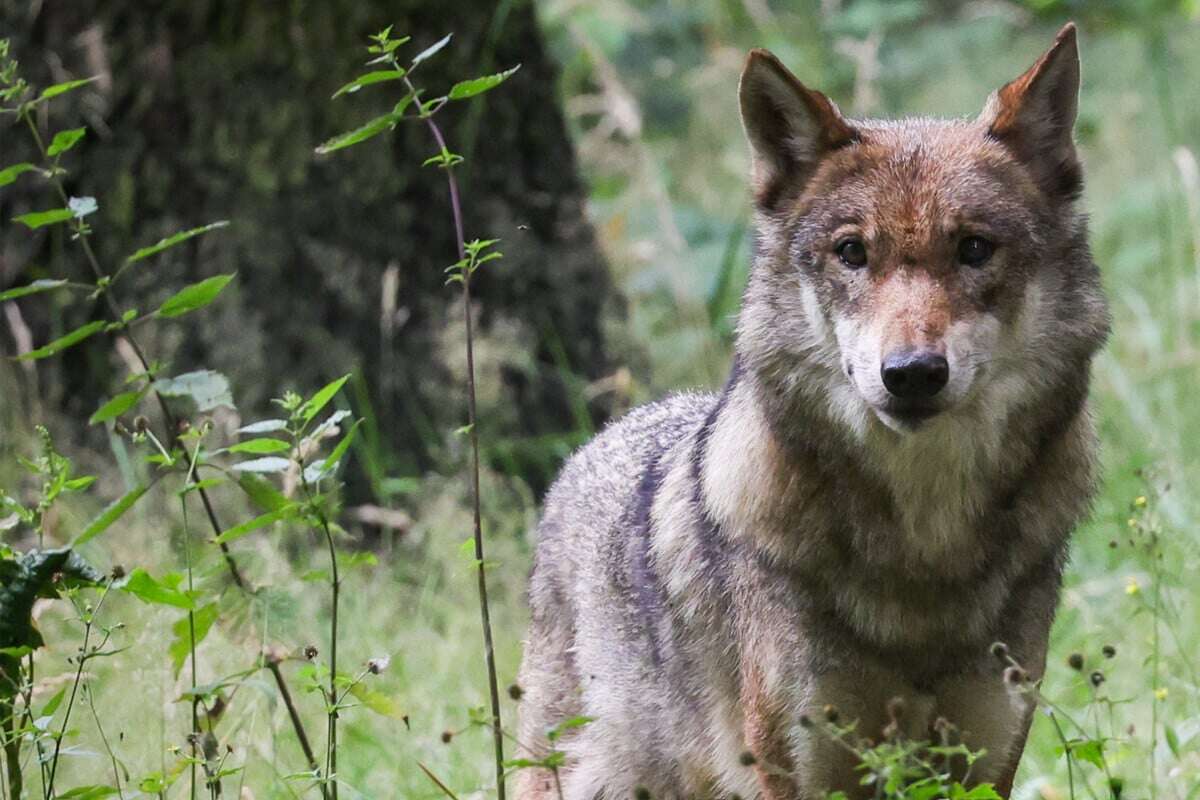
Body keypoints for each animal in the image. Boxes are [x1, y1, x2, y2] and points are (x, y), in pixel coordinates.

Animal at [511, 25, 1108, 800]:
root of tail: (593, 446)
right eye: (851, 252)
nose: (911, 374)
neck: (924, 550)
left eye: (975, 248)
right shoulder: (798, 768)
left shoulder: (984, 761)